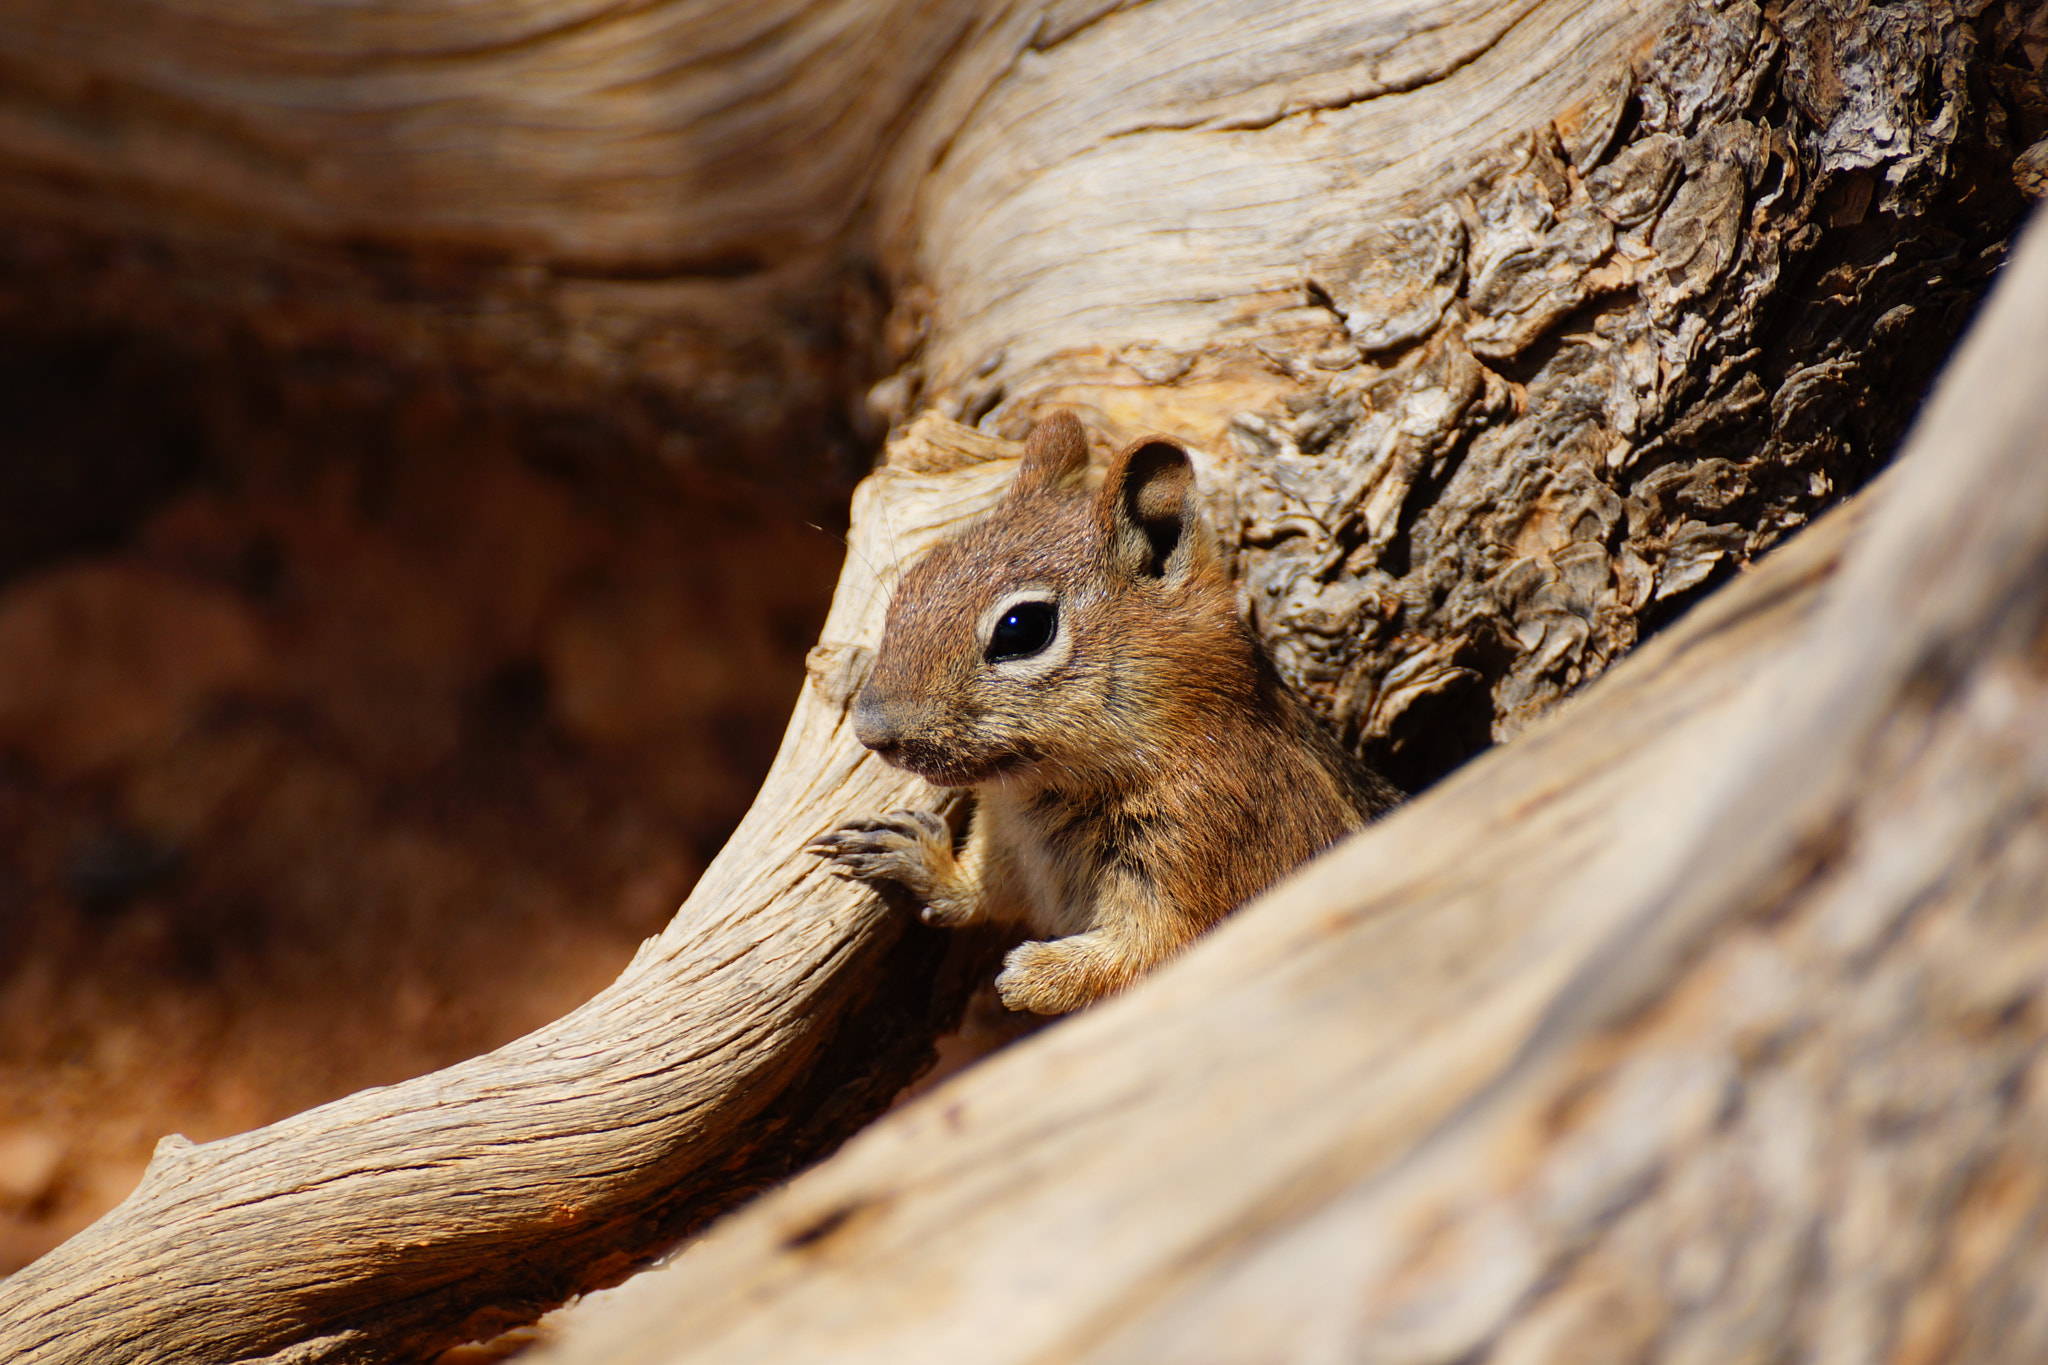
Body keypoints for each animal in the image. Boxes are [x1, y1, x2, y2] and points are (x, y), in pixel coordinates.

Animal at [807, 412, 1401, 1015]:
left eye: (1022, 629)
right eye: (911, 583)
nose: (871, 732)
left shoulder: (1212, 843)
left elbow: (1156, 955)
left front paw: (1033, 976)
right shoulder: (1011, 852)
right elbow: (979, 894)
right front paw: (915, 856)